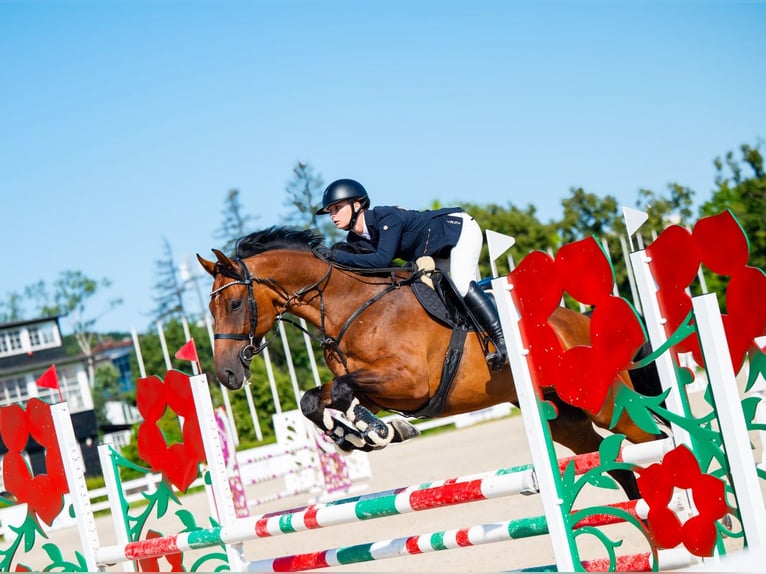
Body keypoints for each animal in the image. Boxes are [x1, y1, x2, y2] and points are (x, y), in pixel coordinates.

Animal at [198, 225, 664, 500]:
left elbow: (343, 392)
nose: (227, 374)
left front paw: (378, 432)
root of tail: (583, 322)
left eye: (235, 303)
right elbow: (315, 399)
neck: (352, 304)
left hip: (604, 400)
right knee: (616, 462)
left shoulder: (410, 382)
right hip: (565, 418)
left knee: (651, 439)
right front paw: (360, 435)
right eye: (210, 310)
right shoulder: (378, 387)